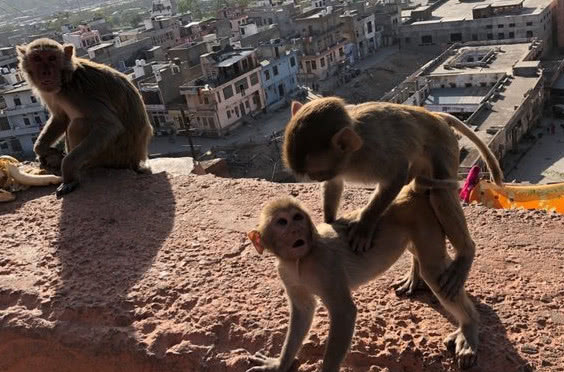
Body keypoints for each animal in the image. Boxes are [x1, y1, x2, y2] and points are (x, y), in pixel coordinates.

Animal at [17, 37, 154, 198]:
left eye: (52, 58)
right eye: (37, 59)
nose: (45, 72)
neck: (65, 81)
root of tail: (137, 158)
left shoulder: (80, 94)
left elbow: (109, 125)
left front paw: (68, 172)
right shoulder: (50, 93)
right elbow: (60, 118)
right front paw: (42, 149)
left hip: (113, 156)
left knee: (79, 124)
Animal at [245, 187, 478, 370]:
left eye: (297, 217)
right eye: (282, 222)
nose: (296, 230)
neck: (300, 261)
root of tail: (408, 192)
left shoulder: (326, 265)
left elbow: (345, 312)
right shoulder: (286, 274)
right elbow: (303, 311)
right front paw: (279, 364)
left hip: (424, 221)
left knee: (433, 270)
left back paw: (469, 325)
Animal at [282, 98, 502, 302]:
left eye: (316, 171)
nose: (315, 178)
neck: (353, 155)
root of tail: (434, 115)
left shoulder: (376, 154)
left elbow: (396, 176)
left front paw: (364, 226)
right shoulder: (340, 168)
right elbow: (334, 184)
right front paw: (328, 222)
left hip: (444, 145)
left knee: (439, 192)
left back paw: (465, 254)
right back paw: (416, 274)